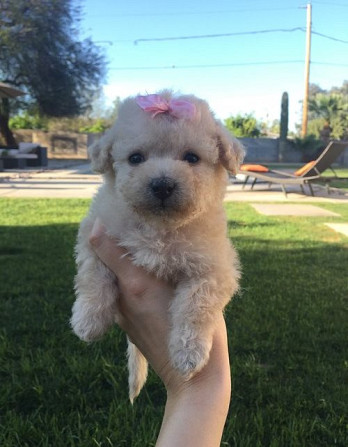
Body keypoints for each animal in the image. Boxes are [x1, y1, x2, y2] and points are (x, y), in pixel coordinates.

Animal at [71, 91, 245, 402]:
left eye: (192, 157)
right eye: (136, 158)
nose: (162, 185)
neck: (159, 227)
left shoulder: (215, 269)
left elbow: (196, 305)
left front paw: (189, 354)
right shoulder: (93, 234)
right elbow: (93, 276)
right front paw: (88, 320)